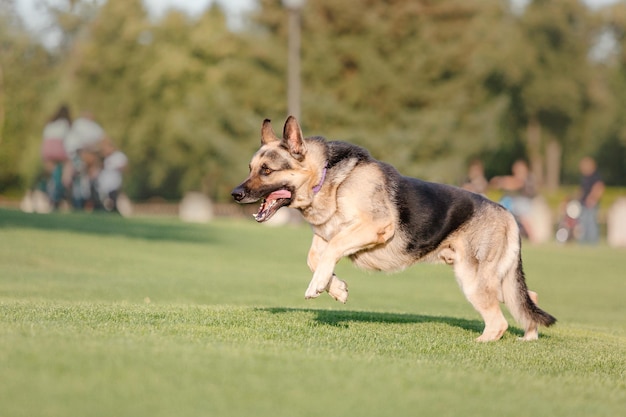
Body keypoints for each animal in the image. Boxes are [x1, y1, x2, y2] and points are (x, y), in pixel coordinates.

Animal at [232, 115, 552, 340]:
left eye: (267, 171)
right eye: (250, 168)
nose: (235, 194)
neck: (327, 178)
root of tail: (506, 212)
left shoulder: (373, 227)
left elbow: (331, 251)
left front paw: (318, 286)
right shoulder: (324, 236)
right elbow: (316, 258)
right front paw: (336, 289)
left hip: (473, 280)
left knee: (499, 322)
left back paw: (482, 343)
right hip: (493, 282)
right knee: (529, 300)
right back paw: (529, 338)